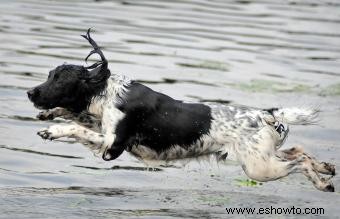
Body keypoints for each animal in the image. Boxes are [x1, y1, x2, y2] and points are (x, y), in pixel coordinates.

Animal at [26, 29, 334, 192]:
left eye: (59, 79)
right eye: (49, 75)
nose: (30, 93)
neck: (107, 90)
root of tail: (266, 114)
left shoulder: (112, 146)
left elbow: (77, 127)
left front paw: (51, 130)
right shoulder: (103, 127)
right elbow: (79, 117)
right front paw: (49, 114)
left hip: (259, 168)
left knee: (299, 161)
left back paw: (323, 183)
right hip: (264, 157)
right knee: (298, 150)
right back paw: (326, 169)